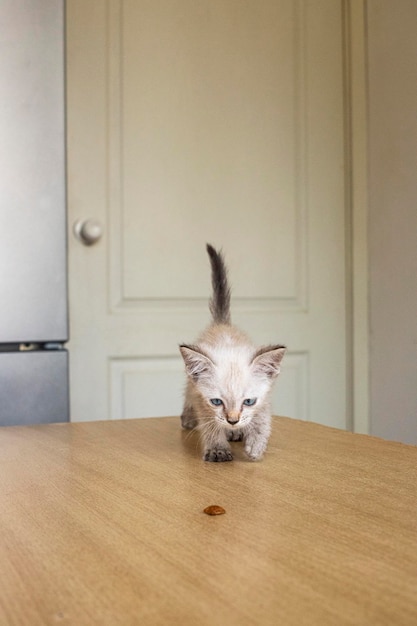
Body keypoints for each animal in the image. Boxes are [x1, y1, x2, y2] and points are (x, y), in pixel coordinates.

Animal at [177, 243, 284, 458]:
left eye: (248, 401)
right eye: (217, 402)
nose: (233, 421)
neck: (229, 346)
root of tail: (222, 323)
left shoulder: (264, 397)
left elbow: (262, 418)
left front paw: (256, 444)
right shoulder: (202, 400)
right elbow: (211, 424)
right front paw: (218, 449)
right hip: (191, 384)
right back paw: (190, 420)